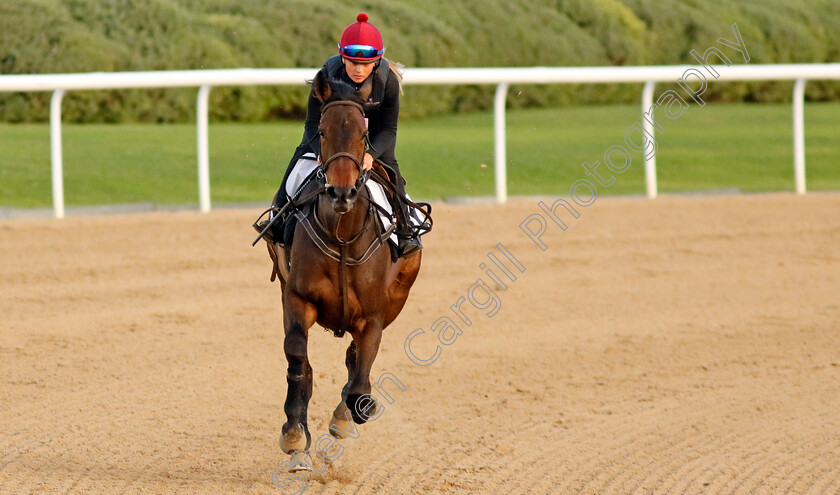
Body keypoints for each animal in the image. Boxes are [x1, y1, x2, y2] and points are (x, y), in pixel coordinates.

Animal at [254, 69, 426, 462]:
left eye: (363, 134)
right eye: (322, 131)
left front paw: (347, 416)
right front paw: (293, 432)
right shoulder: (298, 296)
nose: (342, 192)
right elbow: (297, 356)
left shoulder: (375, 315)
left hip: (400, 295)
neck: (343, 236)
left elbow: (361, 379)